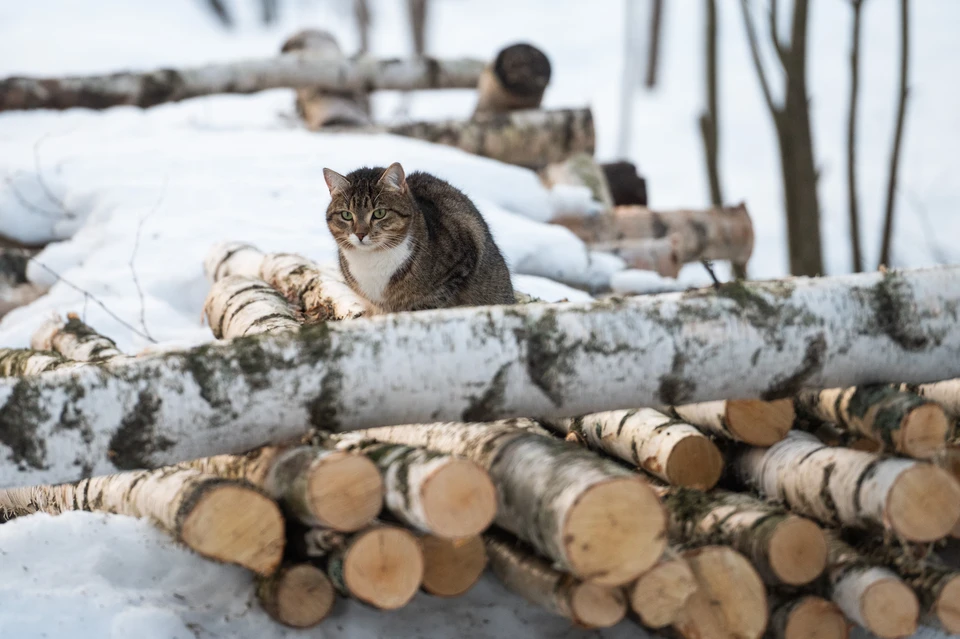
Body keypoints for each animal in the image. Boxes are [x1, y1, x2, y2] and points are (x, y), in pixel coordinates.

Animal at [322, 162, 516, 316]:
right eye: (347, 215)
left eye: (379, 213)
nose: (360, 234)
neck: (371, 260)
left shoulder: (460, 263)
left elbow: (426, 305)